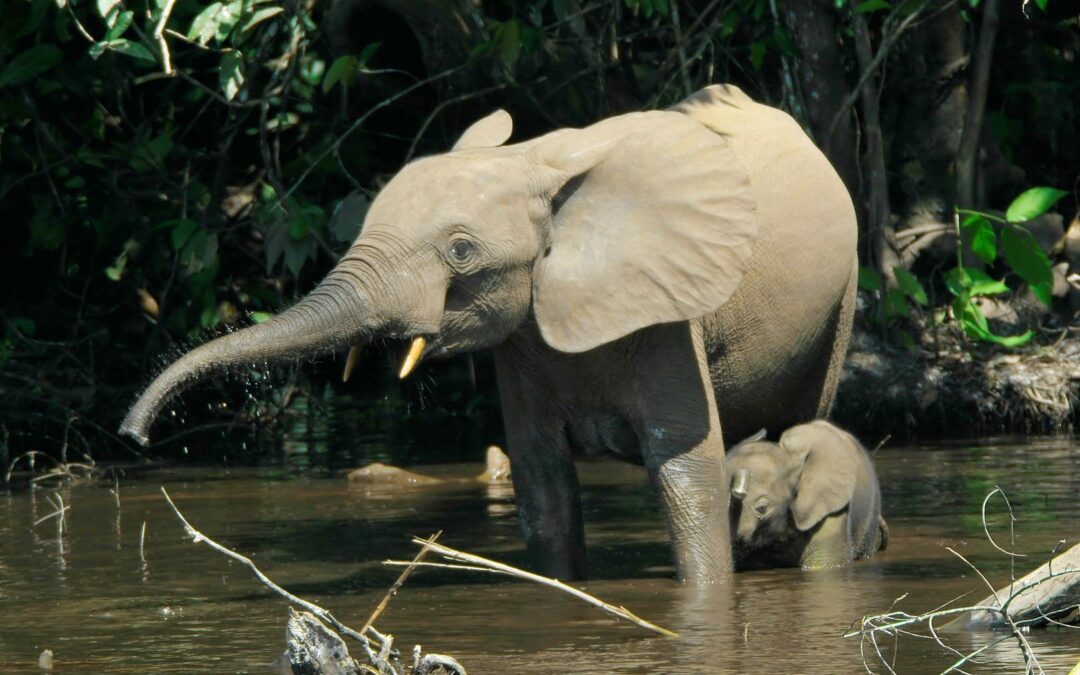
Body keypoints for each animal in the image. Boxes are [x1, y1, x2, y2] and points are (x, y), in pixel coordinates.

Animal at [119, 84, 858, 584]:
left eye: (461, 251)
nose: (134, 436)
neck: (535, 164)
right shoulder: (523, 338)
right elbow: (542, 484)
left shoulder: (668, 313)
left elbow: (685, 473)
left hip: (842, 297)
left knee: (801, 421)